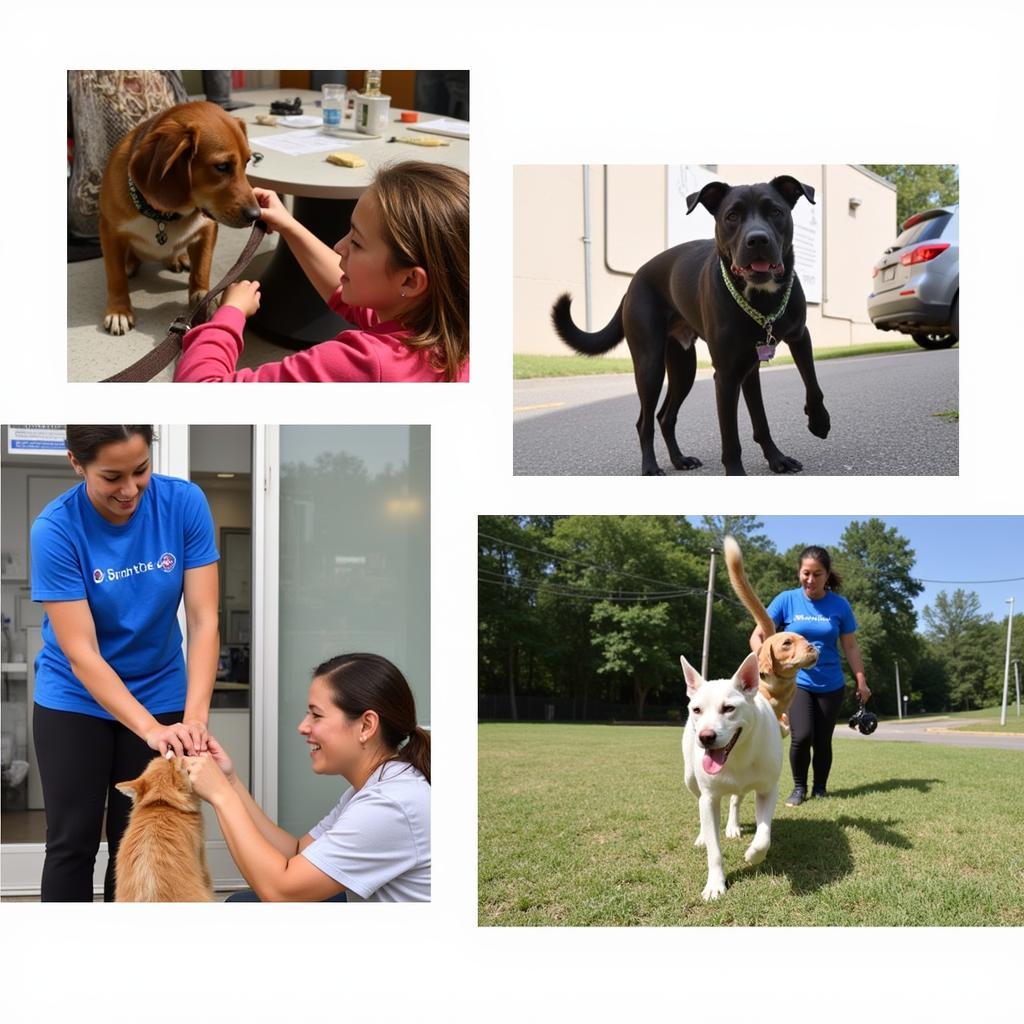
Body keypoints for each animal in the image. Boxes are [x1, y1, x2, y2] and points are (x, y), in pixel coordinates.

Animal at [98, 99, 262, 333]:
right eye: (222, 166)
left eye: (247, 162)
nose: (256, 214)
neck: (163, 216)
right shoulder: (109, 231)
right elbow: (116, 277)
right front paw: (119, 311)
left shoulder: (207, 230)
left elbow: (202, 269)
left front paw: (202, 297)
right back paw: (129, 263)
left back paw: (178, 258)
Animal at [552, 176, 831, 475]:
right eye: (732, 216)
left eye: (776, 212)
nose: (757, 239)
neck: (761, 298)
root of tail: (633, 281)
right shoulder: (727, 374)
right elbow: (730, 436)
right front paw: (737, 470)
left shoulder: (793, 340)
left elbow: (802, 391)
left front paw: (809, 430)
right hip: (650, 364)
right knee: (644, 422)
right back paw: (650, 467)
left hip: (684, 365)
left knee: (665, 416)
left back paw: (679, 459)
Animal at [684, 651, 778, 901]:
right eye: (697, 710)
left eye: (729, 708)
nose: (706, 737)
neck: (737, 754)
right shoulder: (709, 798)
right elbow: (714, 850)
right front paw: (715, 884)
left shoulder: (767, 790)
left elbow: (763, 836)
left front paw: (753, 855)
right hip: (690, 778)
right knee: (698, 799)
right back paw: (702, 836)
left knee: (736, 799)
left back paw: (733, 827)